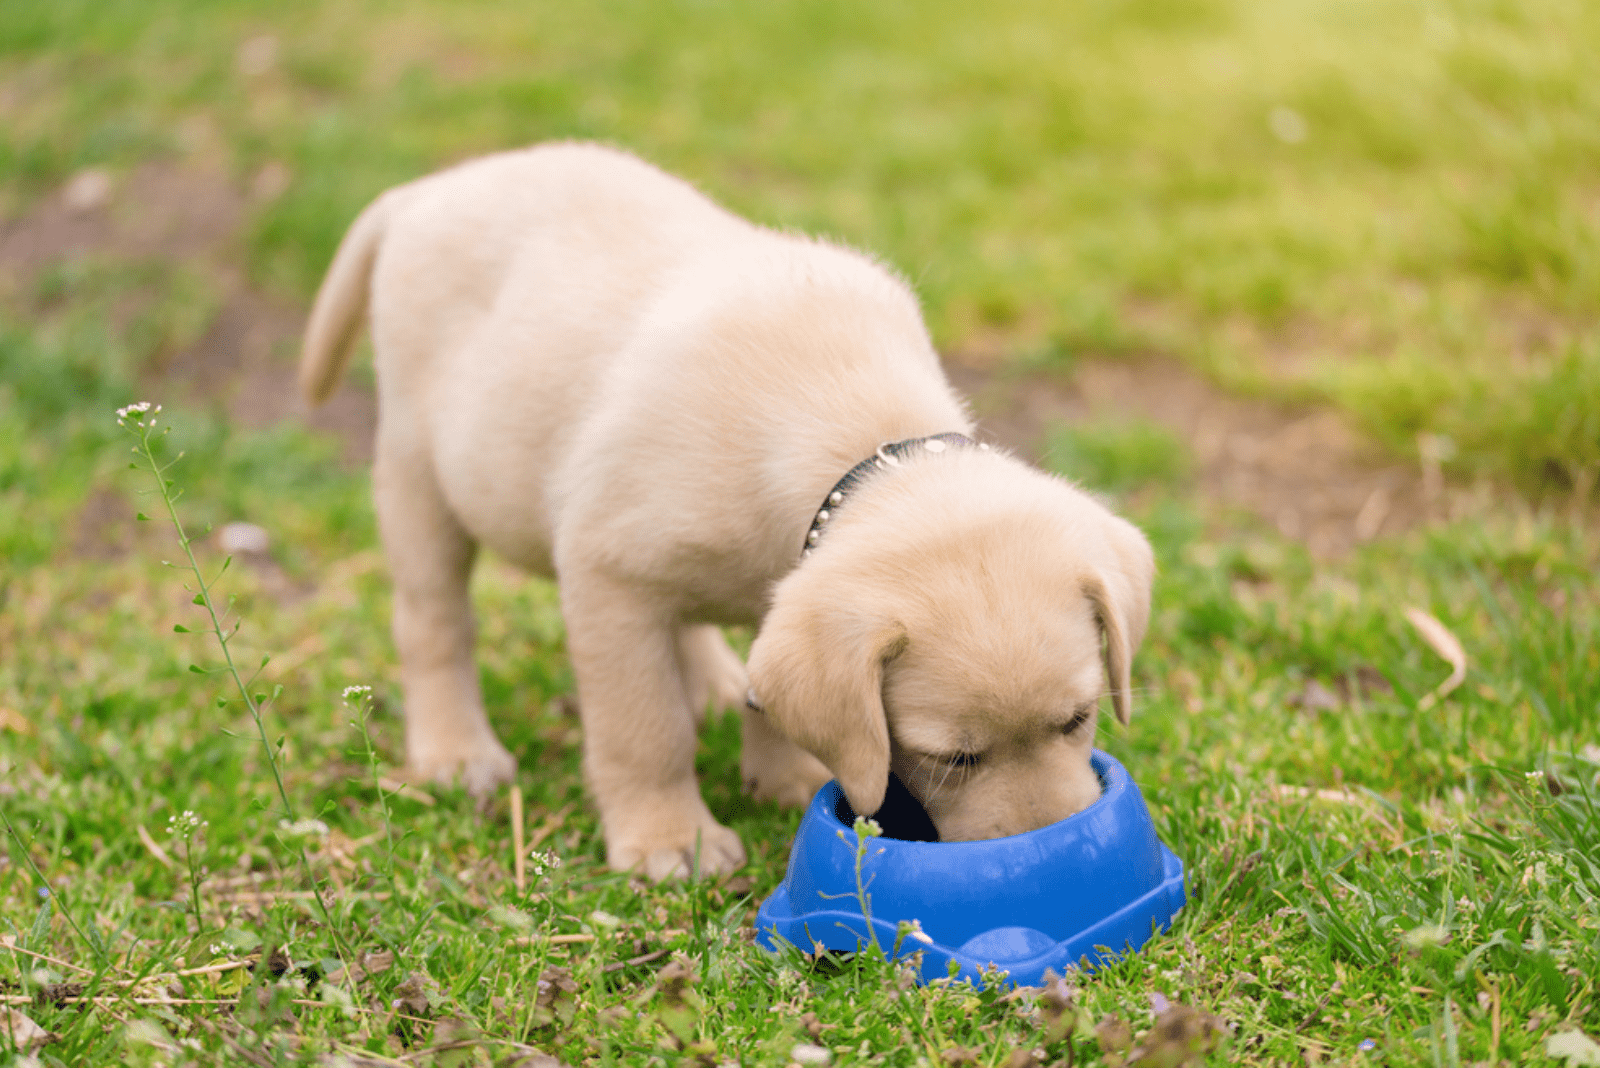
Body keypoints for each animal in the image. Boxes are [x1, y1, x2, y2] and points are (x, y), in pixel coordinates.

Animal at [297, 139, 1152, 876]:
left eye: (1079, 719)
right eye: (952, 758)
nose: (1063, 850)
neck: (855, 436)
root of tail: (430, 190)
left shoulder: (782, 579)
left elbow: (769, 694)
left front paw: (783, 774)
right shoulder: (607, 576)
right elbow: (645, 729)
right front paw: (670, 838)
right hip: (417, 473)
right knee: (434, 621)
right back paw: (455, 750)